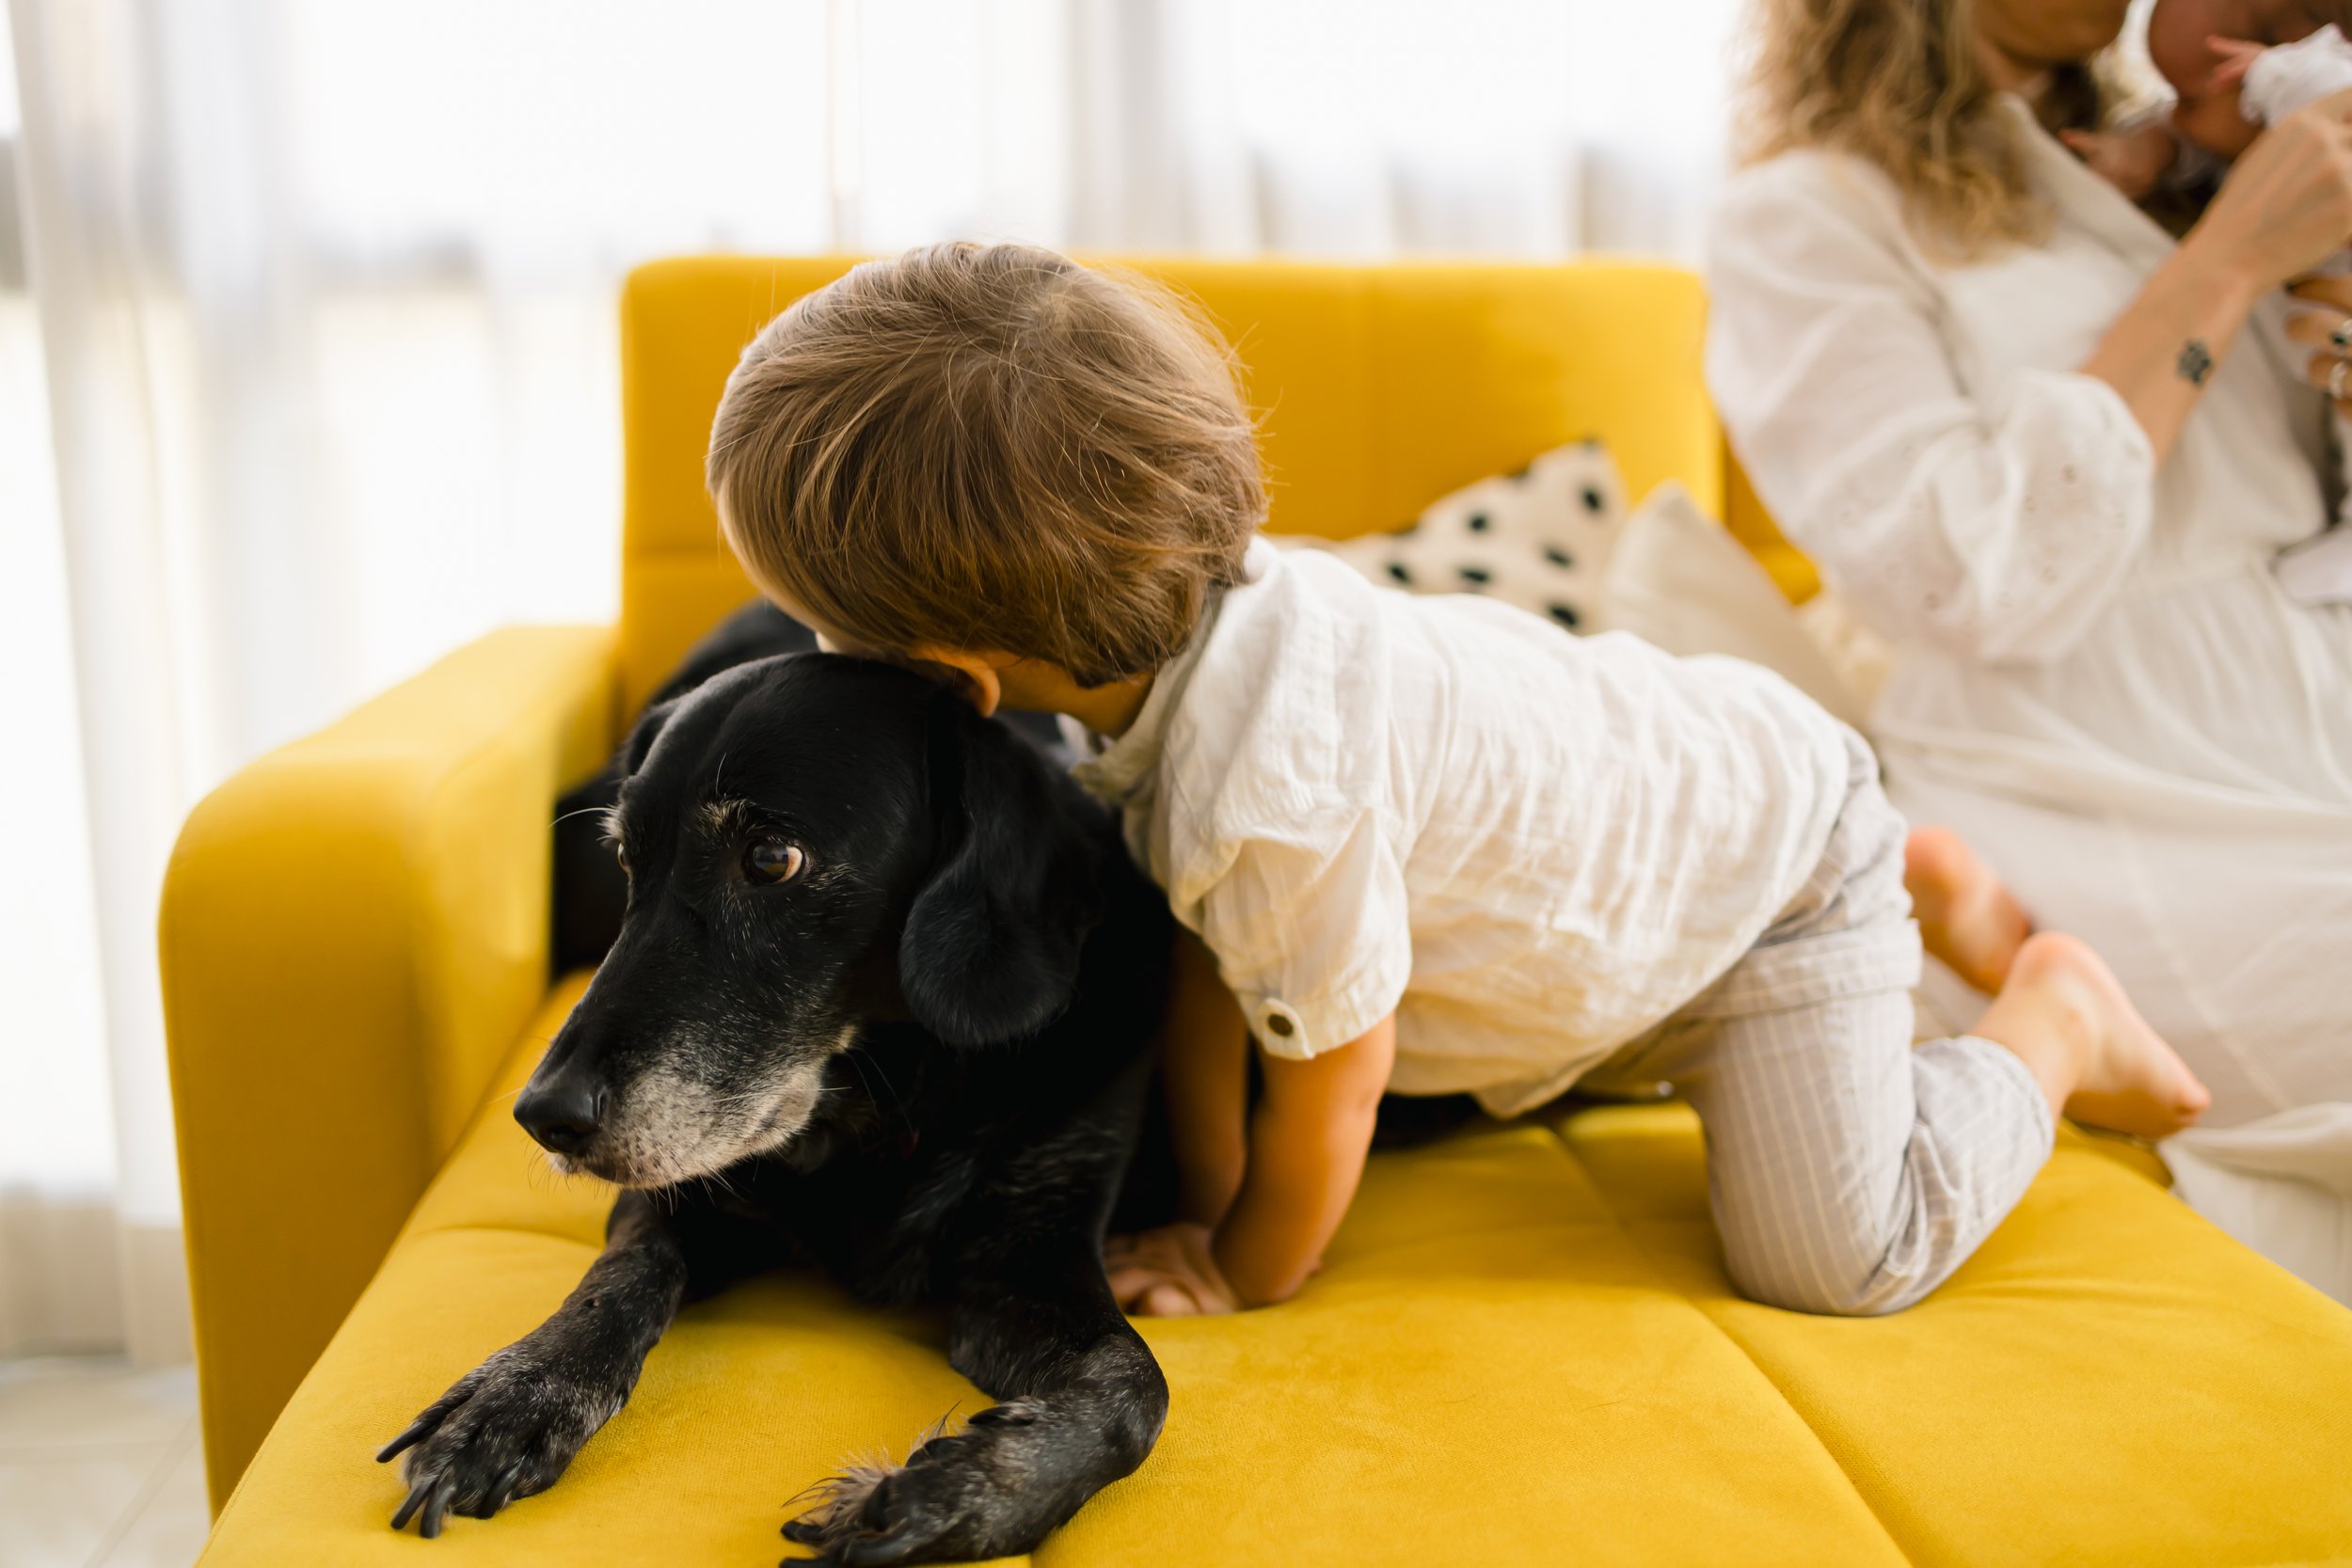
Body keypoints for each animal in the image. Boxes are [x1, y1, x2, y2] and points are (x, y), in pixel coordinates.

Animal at [381, 648, 1176, 1568]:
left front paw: (957, 1493)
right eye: (627, 858)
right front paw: (518, 1393)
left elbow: (1134, 1385)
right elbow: (615, 1279)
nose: (545, 1117)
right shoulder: (679, 1193)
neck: (884, 1101)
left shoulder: (1034, 1247)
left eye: (769, 859)